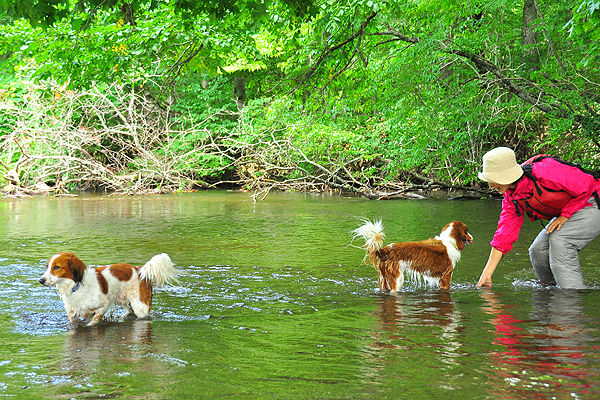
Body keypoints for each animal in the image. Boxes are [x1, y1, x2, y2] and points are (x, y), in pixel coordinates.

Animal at [40, 253, 178, 324]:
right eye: (47, 266)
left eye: (56, 267)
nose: (41, 280)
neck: (75, 287)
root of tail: (139, 269)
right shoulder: (73, 314)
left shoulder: (103, 305)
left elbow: (94, 320)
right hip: (125, 301)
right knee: (130, 311)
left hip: (141, 307)